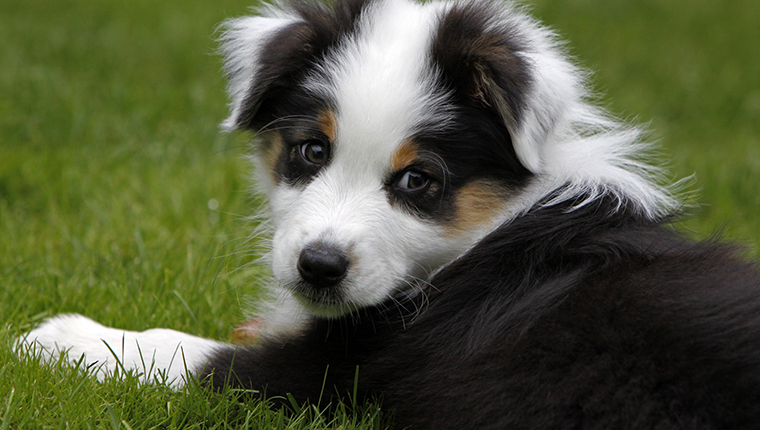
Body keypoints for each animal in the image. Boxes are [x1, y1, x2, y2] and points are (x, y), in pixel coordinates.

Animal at [17, 0, 760, 428]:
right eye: (312, 150)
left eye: (418, 181)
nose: (318, 268)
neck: (484, 232)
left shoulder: (333, 380)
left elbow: (185, 353)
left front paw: (64, 336)